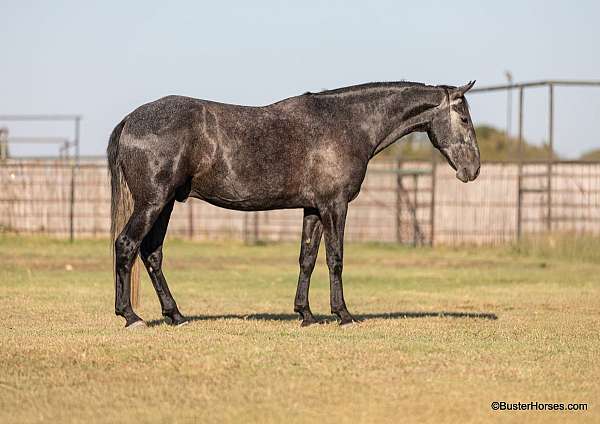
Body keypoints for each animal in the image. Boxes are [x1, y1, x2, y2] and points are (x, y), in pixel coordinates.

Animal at [108, 81, 480, 330]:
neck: (346, 124)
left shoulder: (313, 209)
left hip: (166, 204)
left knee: (152, 254)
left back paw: (175, 315)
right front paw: (343, 315)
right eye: (463, 117)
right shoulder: (334, 206)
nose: (473, 170)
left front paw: (306, 314)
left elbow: (307, 259)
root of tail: (131, 119)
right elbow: (335, 259)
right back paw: (131, 316)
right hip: (153, 202)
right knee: (126, 245)